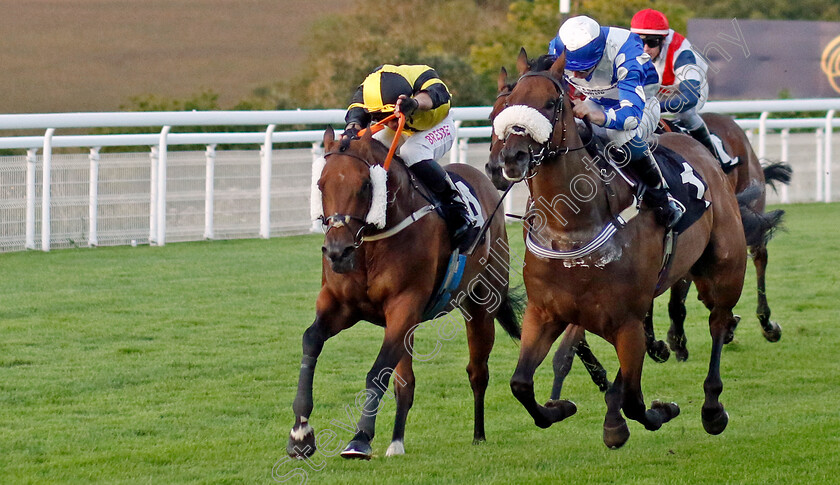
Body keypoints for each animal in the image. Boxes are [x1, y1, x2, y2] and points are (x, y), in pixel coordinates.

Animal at [292, 126, 520, 460]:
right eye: (321, 185)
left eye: (364, 185)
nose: (337, 251)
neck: (370, 243)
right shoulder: (340, 306)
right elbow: (311, 340)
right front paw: (300, 433)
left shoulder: (404, 306)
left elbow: (377, 372)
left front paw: (360, 438)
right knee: (406, 382)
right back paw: (396, 441)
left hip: (480, 305)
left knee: (478, 372)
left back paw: (479, 435)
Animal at [496, 52, 744, 446]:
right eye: (506, 105)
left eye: (550, 103)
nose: (512, 157)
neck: (572, 226)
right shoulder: (544, 312)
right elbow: (520, 383)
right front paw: (559, 407)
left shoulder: (625, 321)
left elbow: (633, 399)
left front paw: (661, 411)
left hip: (724, 270)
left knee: (719, 321)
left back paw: (712, 408)